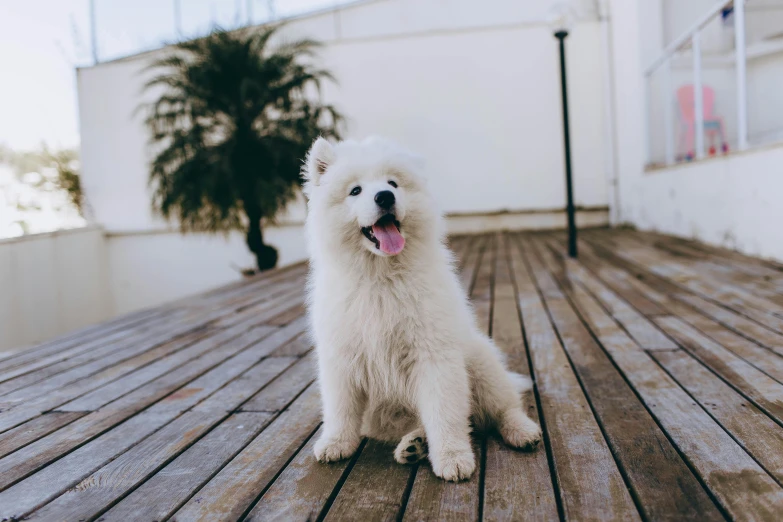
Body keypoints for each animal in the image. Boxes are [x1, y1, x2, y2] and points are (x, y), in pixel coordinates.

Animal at [304, 135, 544, 480]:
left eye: (393, 183)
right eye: (355, 190)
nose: (385, 196)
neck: (382, 277)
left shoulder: (433, 355)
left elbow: (445, 413)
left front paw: (453, 457)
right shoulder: (342, 358)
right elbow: (340, 409)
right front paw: (335, 443)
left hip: (482, 364)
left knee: (502, 409)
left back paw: (522, 432)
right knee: (423, 423)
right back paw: (413, 445)